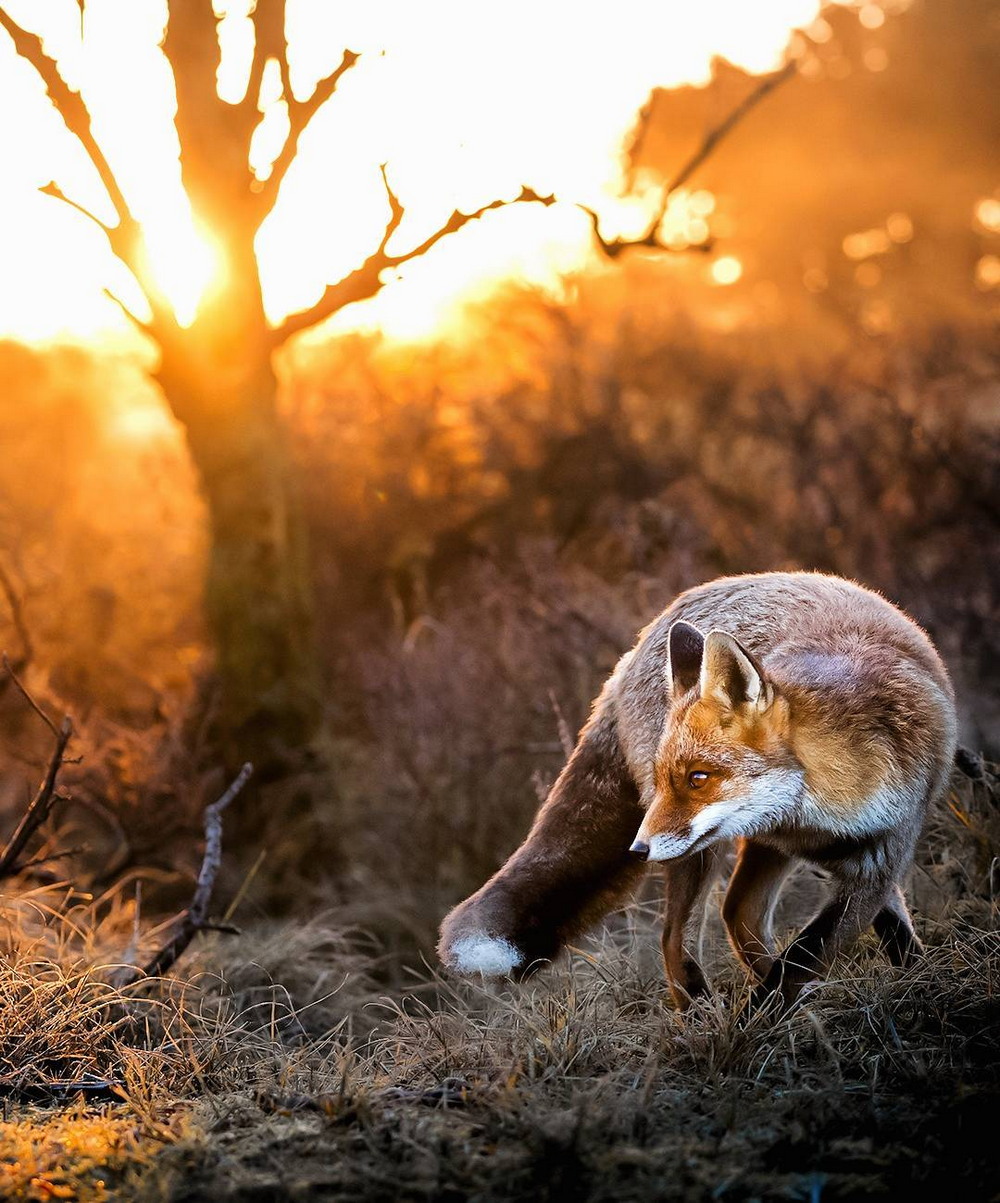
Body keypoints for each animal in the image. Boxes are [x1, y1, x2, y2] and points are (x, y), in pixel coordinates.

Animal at [440, 572, 962, 1005]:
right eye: (668, 777)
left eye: (698, 778)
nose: (638, 849)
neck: (822, 812)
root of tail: (634, 649)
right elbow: (800, 959)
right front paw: (753, 1028)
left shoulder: (878, 859)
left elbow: (836, 945)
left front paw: (918, 979)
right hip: (699, 852)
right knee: (677, 936)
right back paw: (699, 1015)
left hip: (752, 849)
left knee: (738, 913)